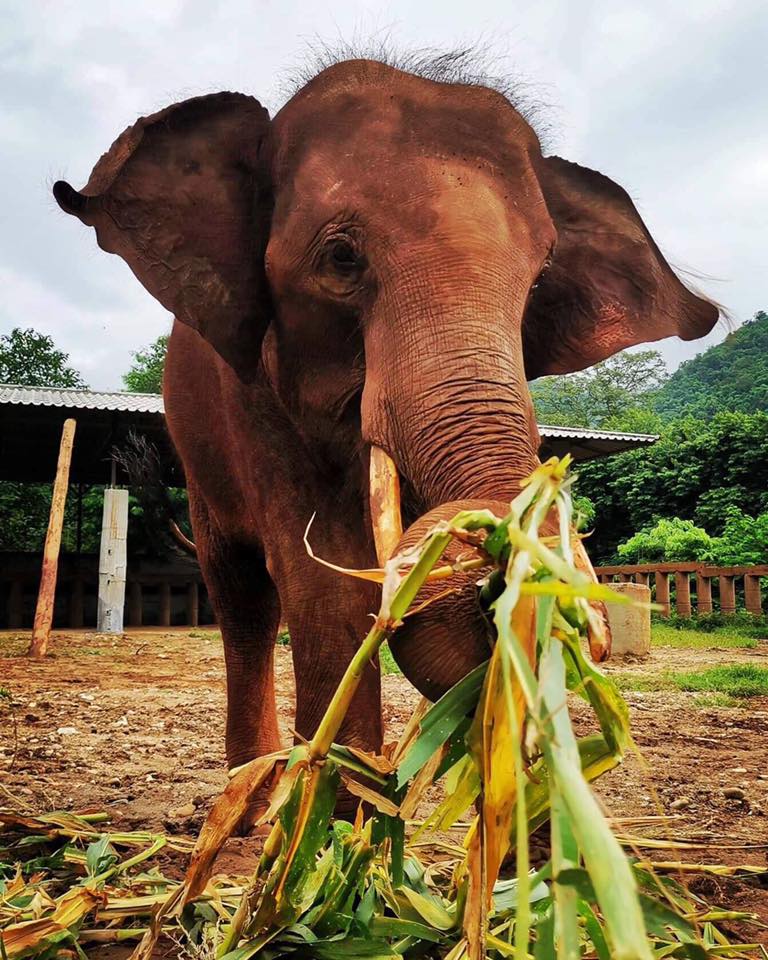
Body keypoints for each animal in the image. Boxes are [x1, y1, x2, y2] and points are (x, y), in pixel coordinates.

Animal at [52, 52, 712, 804]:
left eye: (542, 273)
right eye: (341, 258)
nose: (502, 573)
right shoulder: (252, 403)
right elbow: (329, 587)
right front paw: (343, 818)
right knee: (243, 600)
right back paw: (250, 801)